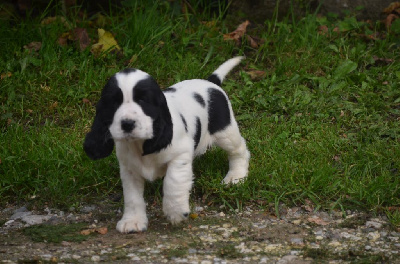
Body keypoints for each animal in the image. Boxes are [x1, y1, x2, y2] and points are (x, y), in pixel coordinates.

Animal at [83, 56, 250, 232]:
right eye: (114, 103)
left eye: (143, 100)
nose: (127, 124)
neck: (140, 144)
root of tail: (210, 82)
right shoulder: (129, 168)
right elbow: (132, 196)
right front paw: (132, 220)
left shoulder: (180, 155)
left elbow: (173, 182)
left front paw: (176, 212)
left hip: (226, 132)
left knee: (239, 151)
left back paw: (236, 176)